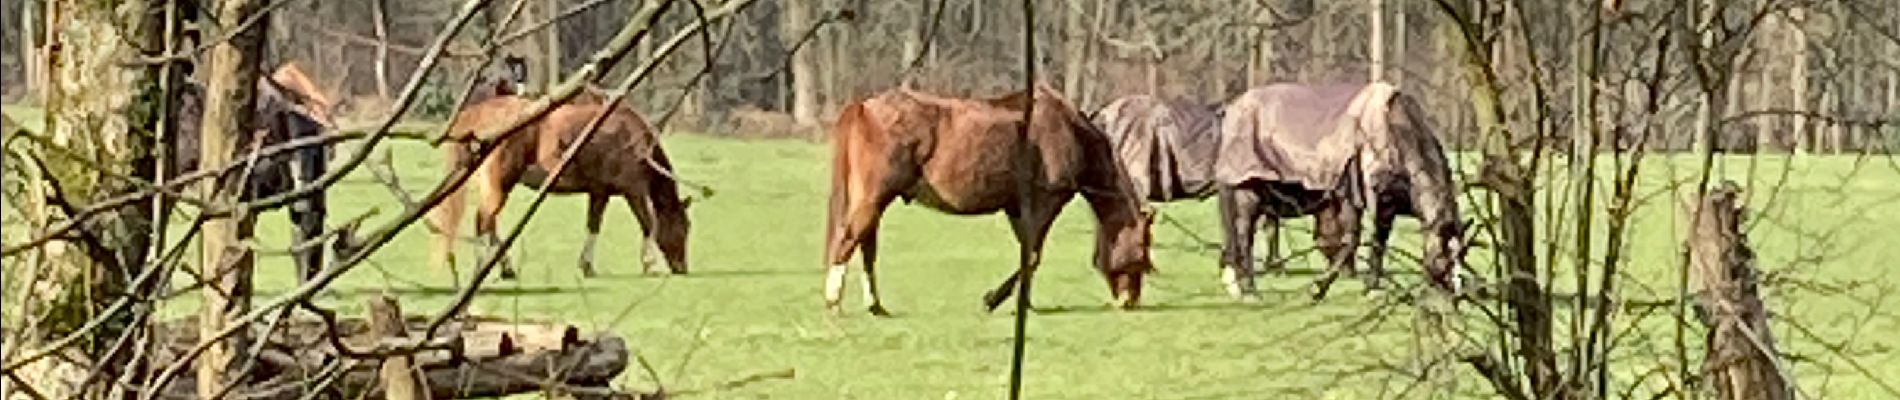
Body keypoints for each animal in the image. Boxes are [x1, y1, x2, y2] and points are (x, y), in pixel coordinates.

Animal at [820, 84, 1147, 314]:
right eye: (1143, 249)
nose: (1130, 300)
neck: (1070, 130)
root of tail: (864, 105)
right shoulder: (1045, 203)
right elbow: (1032, 255)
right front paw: (994, 300)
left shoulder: (1017, 210)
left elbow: (1027, 255)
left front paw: (1023, 303)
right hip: (873, 199)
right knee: (848, 240)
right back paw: (834, 300)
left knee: (866, 248)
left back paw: (874, 305)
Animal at [1216, 81, 1466, 299]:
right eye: (1445, 256)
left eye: (1463, 254)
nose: (1456, 295)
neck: (1394, 135)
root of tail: (1233, 110)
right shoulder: (1350, 198)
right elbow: (1351, 241)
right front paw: (1318, 287)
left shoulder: (1387, 206)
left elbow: (1379, 244)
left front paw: (1371, 288)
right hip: (1246, 195)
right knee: (1244, 236)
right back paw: (1248, 290)